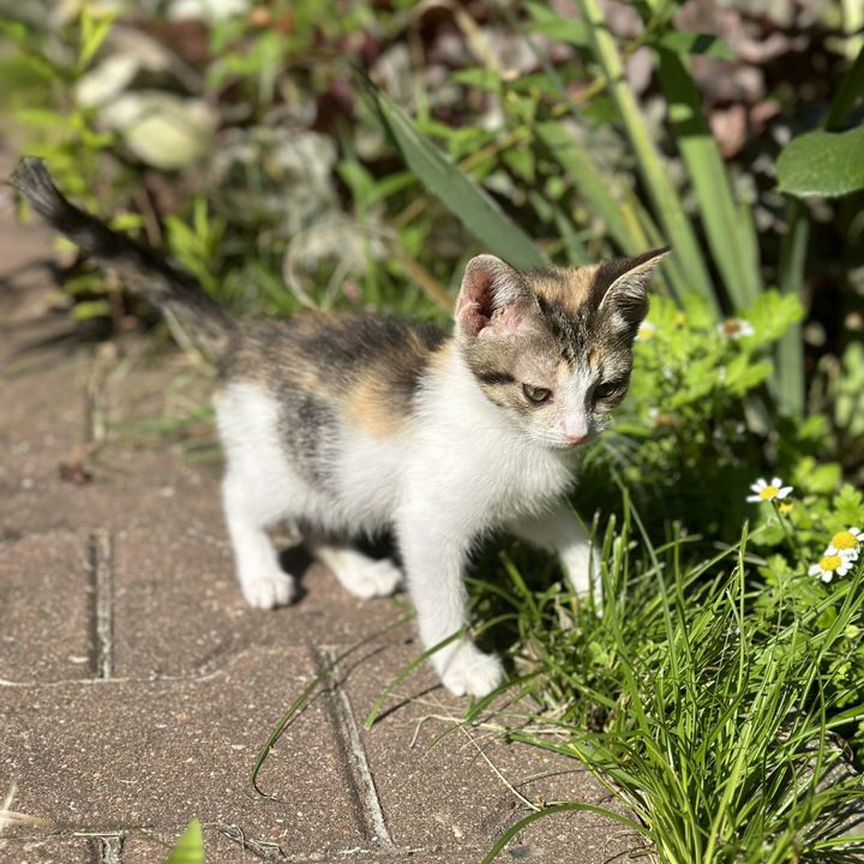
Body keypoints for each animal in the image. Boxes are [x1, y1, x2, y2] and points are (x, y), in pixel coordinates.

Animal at [11, 157, 668, 696]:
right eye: (537, 392)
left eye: (607, 389)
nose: (579, 434)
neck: (508, 431)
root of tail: (248, 335)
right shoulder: (430, 518)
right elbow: (442, 596)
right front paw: (462, 664)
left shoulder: (527, 501)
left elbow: (574, 536)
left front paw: (602, 600)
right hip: (281, 457)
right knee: (239, 498)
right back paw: (262, 573)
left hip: (330, 469)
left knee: (315, 516)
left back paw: (357, 570)